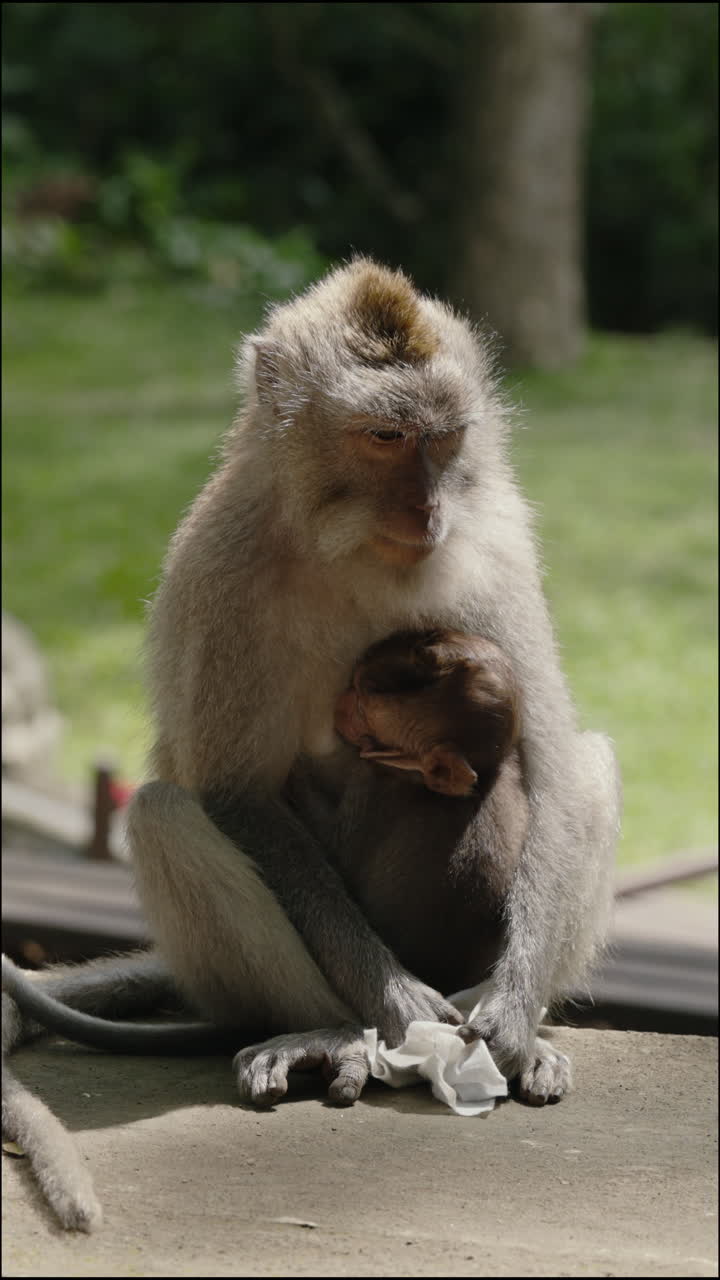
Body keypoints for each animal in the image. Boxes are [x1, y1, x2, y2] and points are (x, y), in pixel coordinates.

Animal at [3, 258, 621, 1232]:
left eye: (445, 440)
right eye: (385, 437)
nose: (429, 507)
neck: (360, 545)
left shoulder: (496, 543)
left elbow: (558, 761)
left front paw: (516, 1012)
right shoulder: (224, 568)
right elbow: (234, 793)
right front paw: (395, 1000)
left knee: (589, 766)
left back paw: (512, 1024)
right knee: (167, 815)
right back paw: (335, 1031)